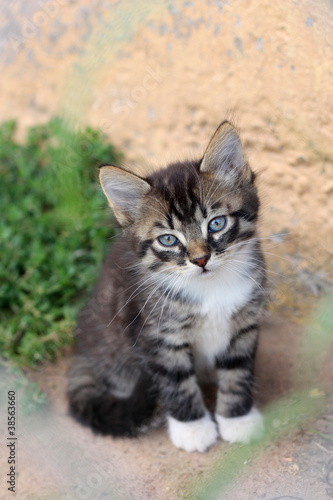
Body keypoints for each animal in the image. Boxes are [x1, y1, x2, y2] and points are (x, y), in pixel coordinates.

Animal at [67, 122, 264, 454]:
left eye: (216, 224)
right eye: (169, 240)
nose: (200, 259)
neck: (210, 288)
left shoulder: (245, 322)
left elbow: (237, 372)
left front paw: (237, 418)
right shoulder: (156, 333)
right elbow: (176, 382)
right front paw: (193, 428)